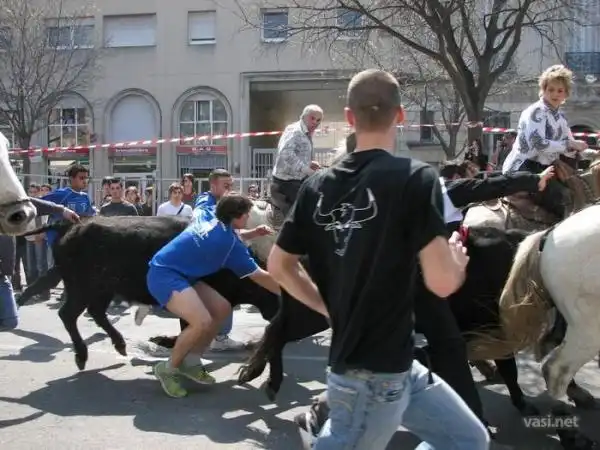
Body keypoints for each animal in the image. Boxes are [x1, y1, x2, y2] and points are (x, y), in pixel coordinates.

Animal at [16, 215, 280, 370]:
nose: (277, 312)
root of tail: (72, 226)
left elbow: (187, 327)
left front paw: (164, 341)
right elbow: (186, 326)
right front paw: (164, 341)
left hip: (102, 289)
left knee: (95, 312)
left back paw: (120, 345)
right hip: (82, 288)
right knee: (69, 314)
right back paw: (82, 356)